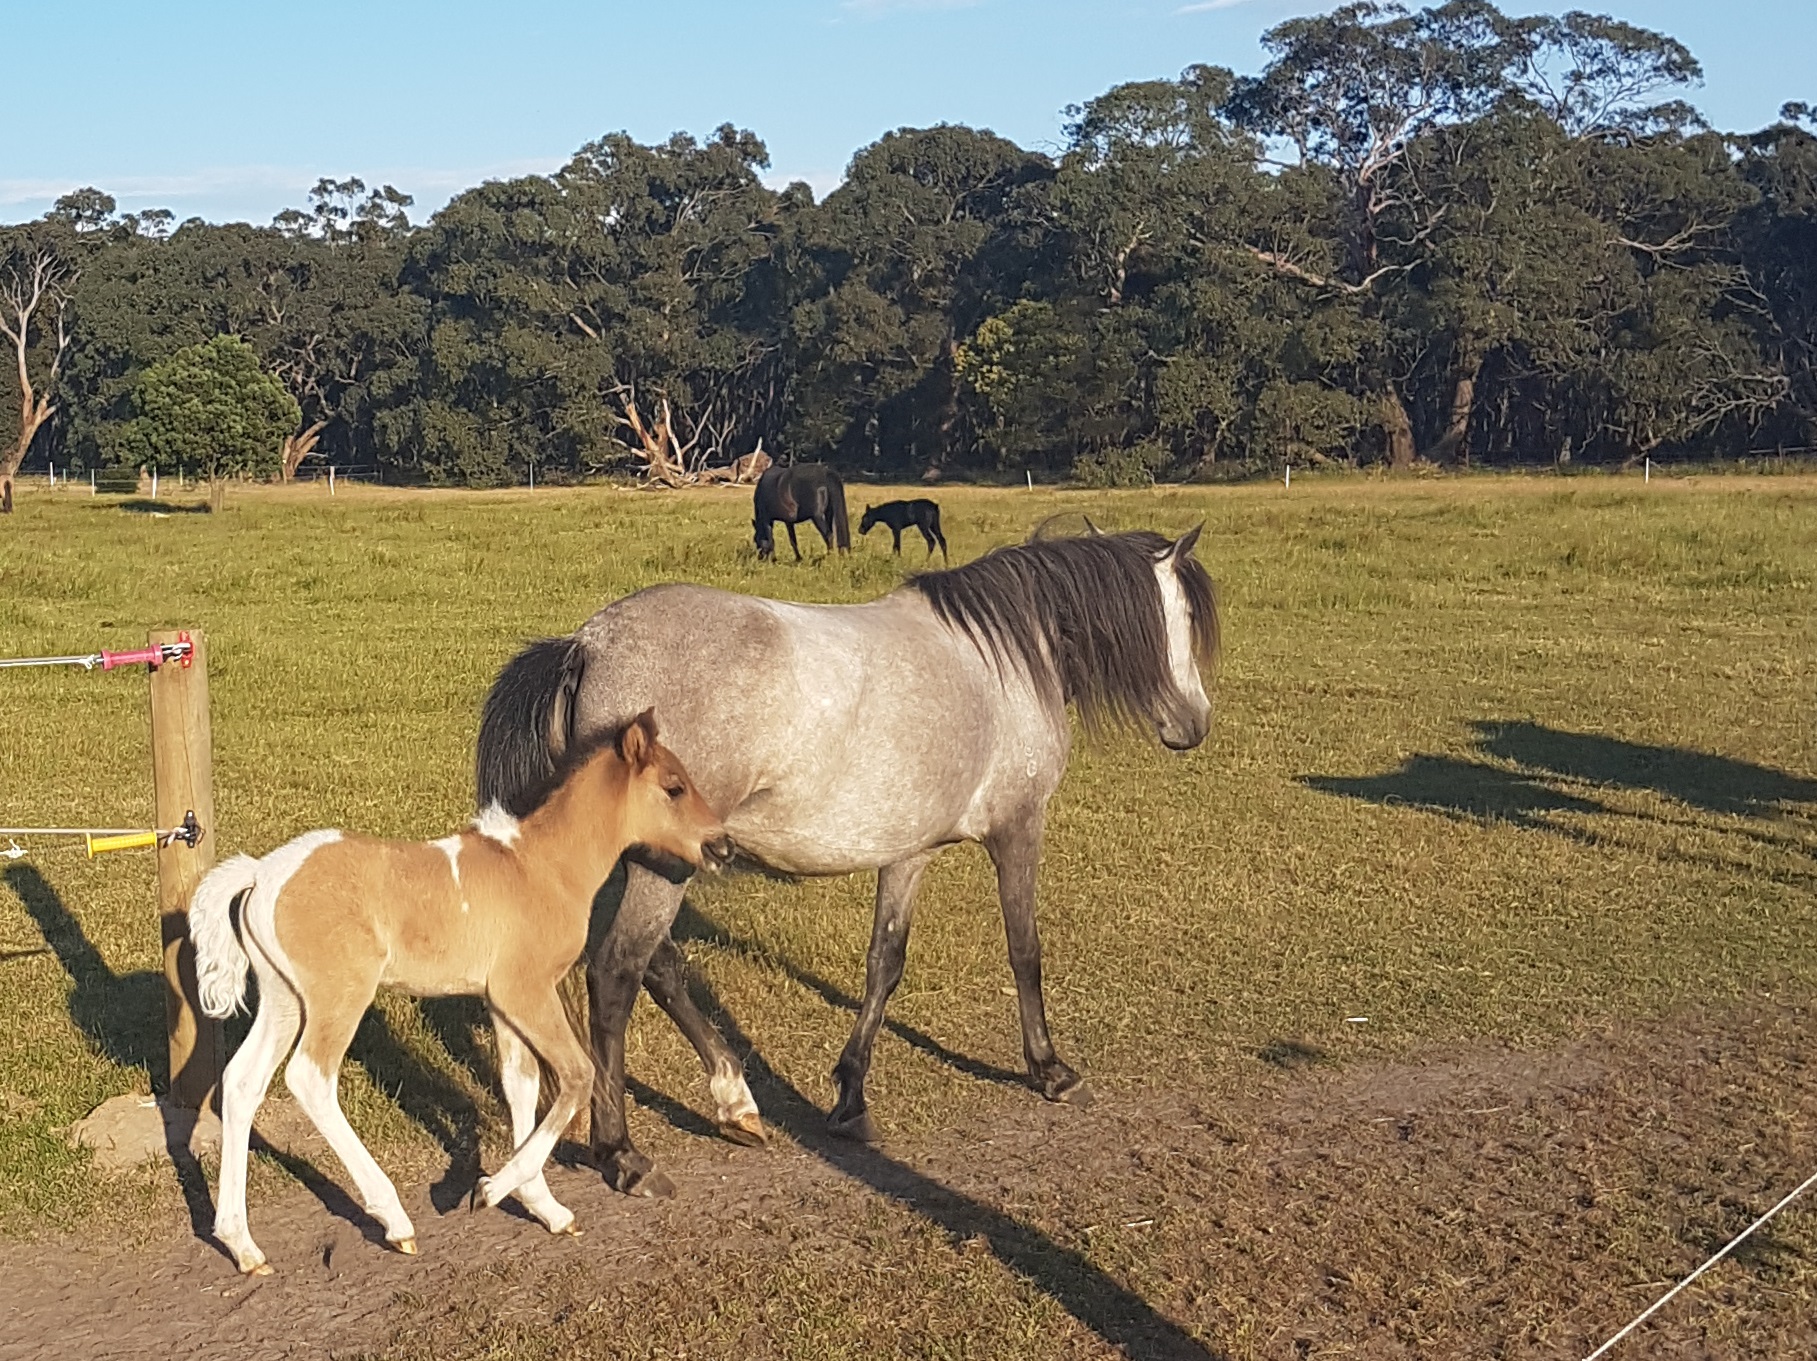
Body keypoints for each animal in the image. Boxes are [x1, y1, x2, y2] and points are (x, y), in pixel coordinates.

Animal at [184, 712, 723, 1271]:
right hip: (340, 997)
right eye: (674, 787)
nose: (721, 846)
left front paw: (545, 1207)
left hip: (284, 1000)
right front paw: (490, 1190)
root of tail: (261, 872)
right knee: (310, 1077)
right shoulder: (527, 991)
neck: (542, 868)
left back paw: (243, 1245)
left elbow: (520, 1084)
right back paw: (394, 1219)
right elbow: (577, 1075)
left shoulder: (501, 1002)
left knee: (242, 1082)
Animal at [479, 519, 1221, 1192]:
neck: (1004, 660)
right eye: (1184, 617)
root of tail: (588, 645)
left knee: (660, 966)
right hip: (665, 869)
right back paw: (624, 1154)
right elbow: (1024, 949)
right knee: (617, 974)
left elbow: (884, 963)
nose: (1196, 723)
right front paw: (1050, 1069)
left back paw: (734, 1100)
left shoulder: (908, 851)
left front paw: (849, 1098)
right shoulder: (1018, 829)